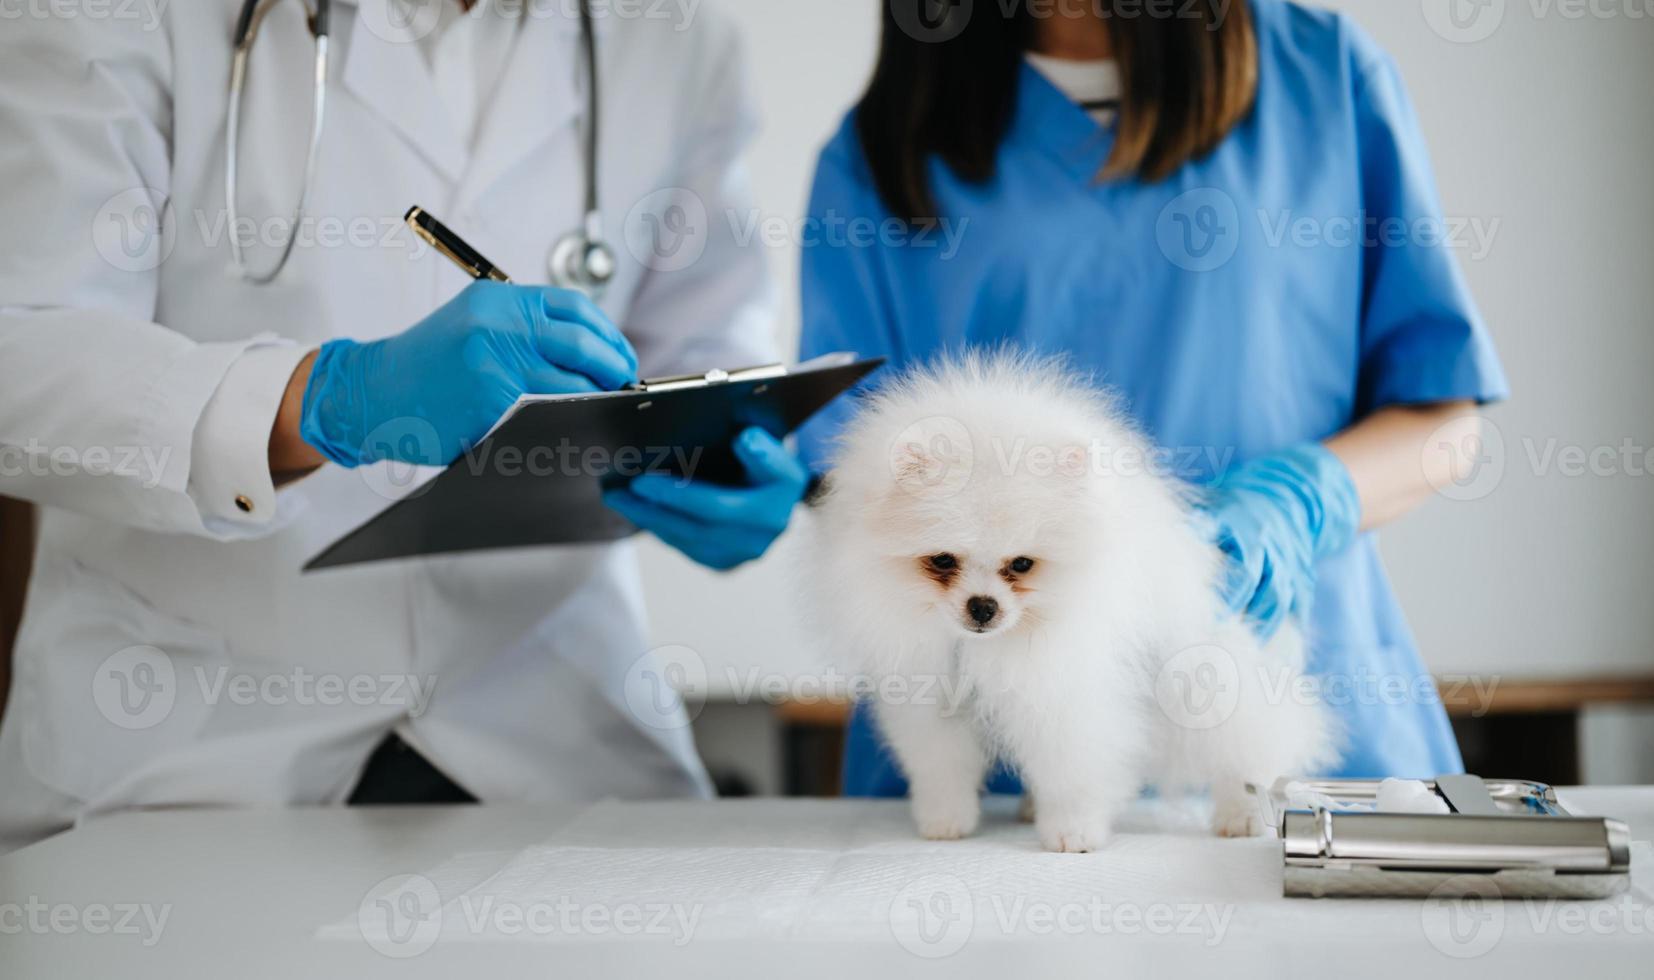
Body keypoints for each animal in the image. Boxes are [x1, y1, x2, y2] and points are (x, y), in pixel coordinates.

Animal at [807, 352, 1336, 846]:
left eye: (1022, 564)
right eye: (942, 560)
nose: (983, 606)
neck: (987, 645)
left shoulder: (1066, 689)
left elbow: (1073, 768)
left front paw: (1073, 832)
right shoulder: (930, 689)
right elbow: (942, 765)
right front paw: (945, 821)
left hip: (1205, 674)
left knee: (1248, 746)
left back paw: (1239, 815)